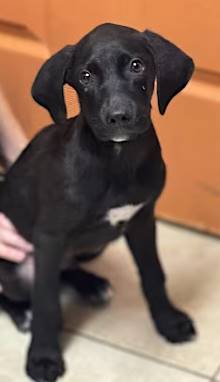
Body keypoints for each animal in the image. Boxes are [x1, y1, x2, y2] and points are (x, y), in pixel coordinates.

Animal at [0, 23, 194, 382]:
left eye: (137, 65)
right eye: (85, 76)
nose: (118, 117)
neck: (116, 159)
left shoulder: (142, 219)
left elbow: (153, 274)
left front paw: (168, 322)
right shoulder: (49, 236)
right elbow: (46, 301)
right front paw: (43, 357)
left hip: (93, 247)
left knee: (66, 268)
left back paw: (91, 284)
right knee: (17, 291)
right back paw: (23, 314)